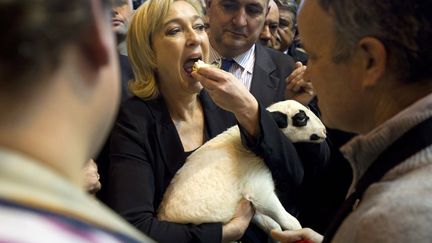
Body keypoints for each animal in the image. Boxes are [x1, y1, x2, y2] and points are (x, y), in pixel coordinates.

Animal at [157, 100, 326, 234]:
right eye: (301, 118)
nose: (324, 131)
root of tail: (162, 215)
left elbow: (267, 219)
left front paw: (275, 231)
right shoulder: (257, 185)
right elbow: (278, 211)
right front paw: (296, 228)